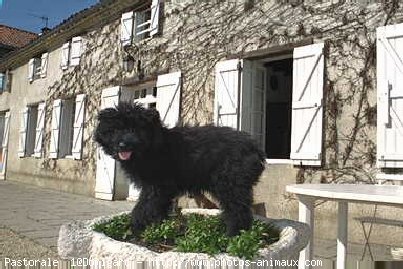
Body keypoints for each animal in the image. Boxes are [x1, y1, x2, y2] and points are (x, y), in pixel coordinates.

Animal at [94, 102, 266, 234]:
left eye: (135, 129)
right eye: (115, 129)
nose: (123, 145)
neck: (153, 146)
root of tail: (255, 148)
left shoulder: (157, 186)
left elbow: (143, 207)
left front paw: (134, 227)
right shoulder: (161, 189)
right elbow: (157, 208)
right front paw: (158, 226)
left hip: (231, 184)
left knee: (238, 210)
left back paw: (233, 234)